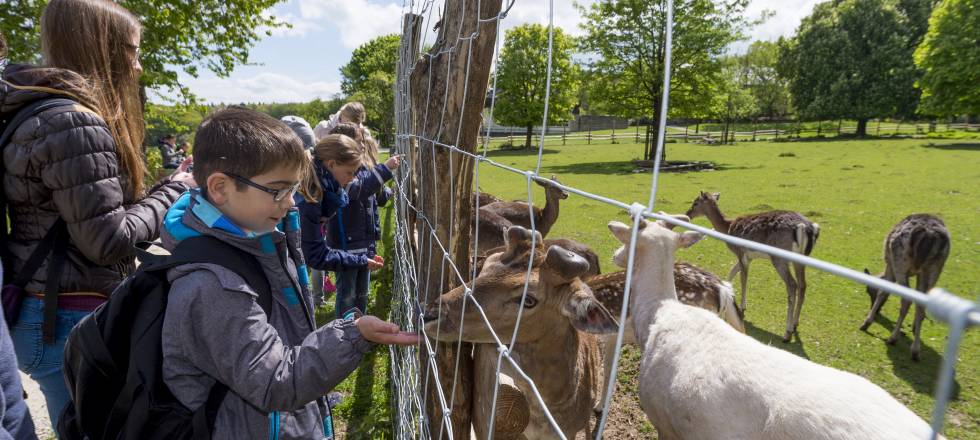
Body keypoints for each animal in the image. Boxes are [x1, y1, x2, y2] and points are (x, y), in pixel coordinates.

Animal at [688, 191, 820, 342]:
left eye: (695, 202)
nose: (688, 213)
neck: (728, 228)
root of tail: (807, 227)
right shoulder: (749, 257)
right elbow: (732, 271)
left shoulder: (740, 252)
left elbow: (743, 279)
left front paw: (742, 308)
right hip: (801, 259)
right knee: (803, 285)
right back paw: (795, 323)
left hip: (780, 258)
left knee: (792, 285)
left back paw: (787, 333)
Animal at [860, 213, 952, 360]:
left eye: (869, 290)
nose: (876, 310)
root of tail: (928, 235)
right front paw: (914, 327)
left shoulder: (890, 264)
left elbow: (883, 291)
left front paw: (867, 322)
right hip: (934, 267)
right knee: (922, 302)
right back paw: (915, 349)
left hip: (900, 261)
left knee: (907, 299)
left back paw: (893, 338)